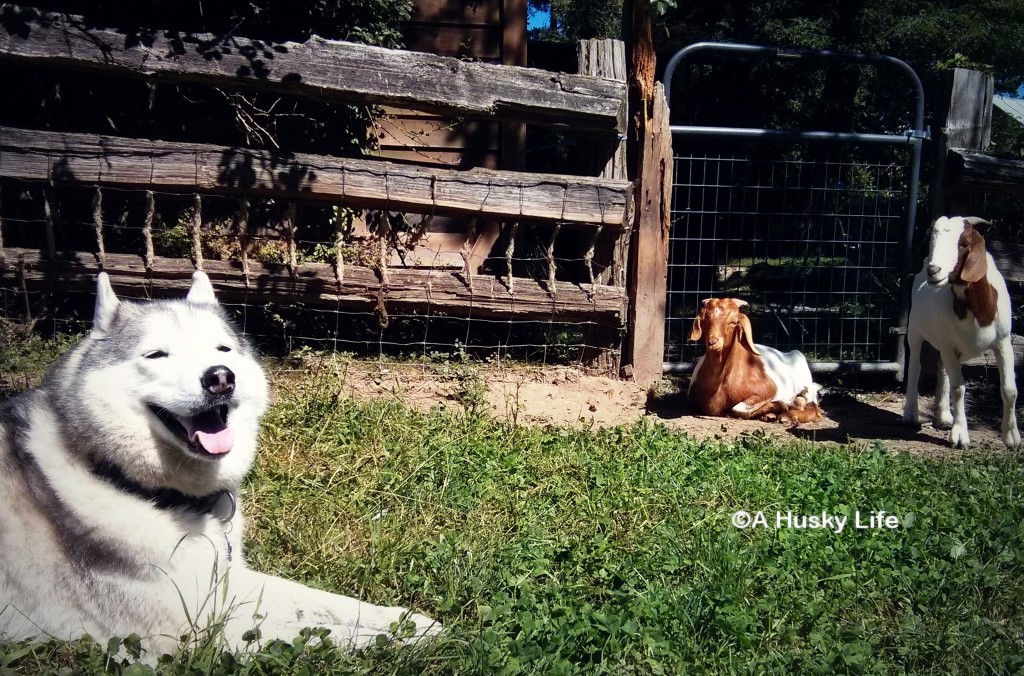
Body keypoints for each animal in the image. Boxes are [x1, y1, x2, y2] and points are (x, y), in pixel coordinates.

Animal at [0, 272, 436, 655]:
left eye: (222, 350)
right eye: (156, 354)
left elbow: (320, 601)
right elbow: (316, 631)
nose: (221, 377)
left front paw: (406, 621)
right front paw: (406, 640)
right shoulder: (189, 631)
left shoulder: (224, 580)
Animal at [688, 299, 823, 421]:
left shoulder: (768, 389)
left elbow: (738, 409)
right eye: (705, 320)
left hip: (806, 384)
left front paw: (781, 405)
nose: (713, 342)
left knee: (814, 409)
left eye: (733, 322)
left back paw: (788, 415)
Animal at [901, 216, 1019, 448]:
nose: (933, 271)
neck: (978, 309)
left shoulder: (1003, 342)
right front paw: (960, 435)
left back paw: (944, 416)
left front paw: (1012, 438)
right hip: (915, 331)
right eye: (931, 240)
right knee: (916, 366)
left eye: (963, 243)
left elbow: (1010, 389)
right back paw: (911, 414)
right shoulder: (948, 346)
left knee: (942, 369)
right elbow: (959, 388)